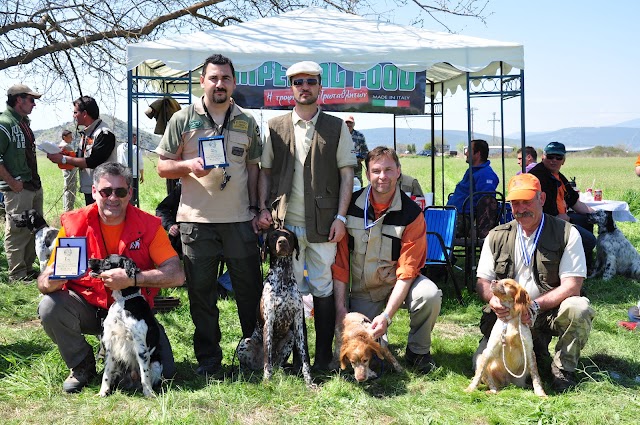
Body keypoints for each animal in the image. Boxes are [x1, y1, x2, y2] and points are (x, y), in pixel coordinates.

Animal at [89, 253, 161, 396]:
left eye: (107, 261)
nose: (89, 259)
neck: (123, 302)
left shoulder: (140, 346)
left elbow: (145, 375)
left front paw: (149, 393)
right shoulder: (110, 343)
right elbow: (106, 373)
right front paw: (103, 392)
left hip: (156, 364)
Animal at [236, 227, 314, 386]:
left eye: (288, 235)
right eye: (273, 236)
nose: (282, 242)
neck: (283, 277)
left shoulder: (298, 325)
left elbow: (305, 358)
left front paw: (309, 382)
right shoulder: (269, 323)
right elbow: (268, 358)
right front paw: (267, 380)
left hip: (290, 337)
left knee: (277, 364)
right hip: (244, 342)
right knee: (253, 364)